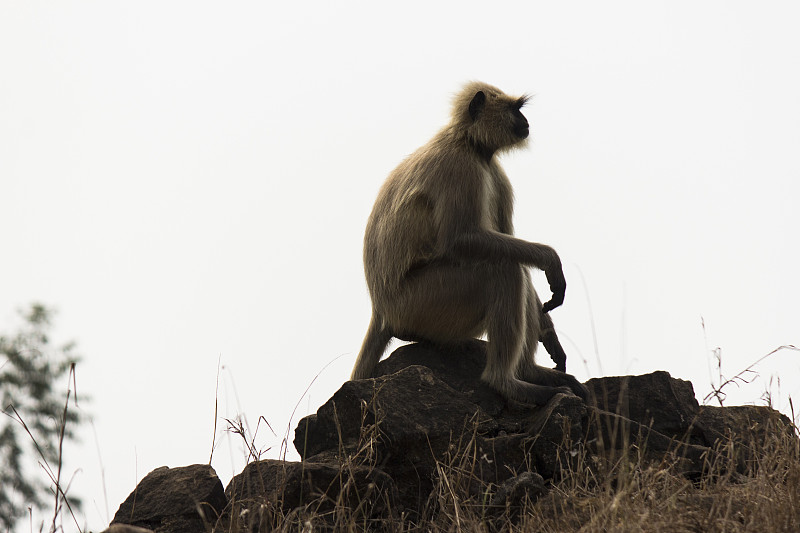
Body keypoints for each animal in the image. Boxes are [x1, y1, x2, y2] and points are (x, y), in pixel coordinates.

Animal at [350, 81, 588, 404]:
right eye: (516, 110)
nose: (526, 123)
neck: (468, 142)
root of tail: (381, 311)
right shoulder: (460, 167)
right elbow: (459, 240)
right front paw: (549, 258)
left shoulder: (495, 171)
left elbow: (506, 239)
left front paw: (549, 333)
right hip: (421, 305)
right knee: (503, 269)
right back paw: (506, 382)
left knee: (511, 265)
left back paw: (529, 372)